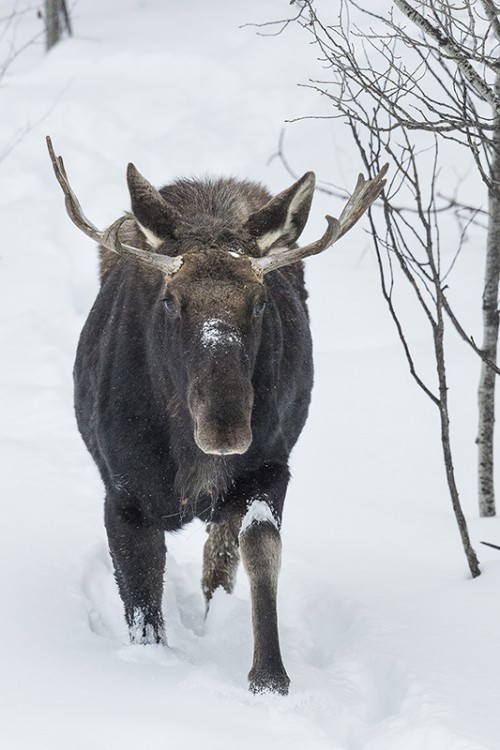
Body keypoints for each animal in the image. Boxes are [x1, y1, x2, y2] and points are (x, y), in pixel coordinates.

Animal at [47, 137, 384, 700]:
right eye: (170, 301)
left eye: (260, 302)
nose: (225, 427)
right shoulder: (123, 493)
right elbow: (141, 599)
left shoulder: (268, 468)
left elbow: (259, 553)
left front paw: (270, 678)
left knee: (217, 565)